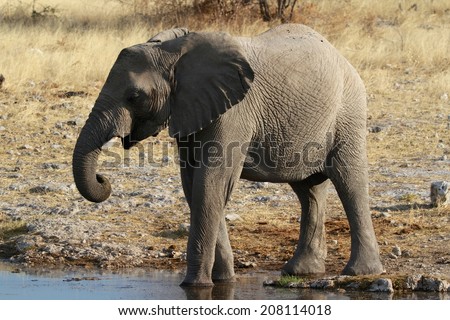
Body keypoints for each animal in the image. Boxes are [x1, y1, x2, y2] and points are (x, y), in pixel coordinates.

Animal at [73, 23, 384, 286]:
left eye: (135, 97)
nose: (103, 178)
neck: (173, 51)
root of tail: (341, 56)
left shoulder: (234, 113)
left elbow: (211, 184)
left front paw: (195, 285)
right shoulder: (192, 108)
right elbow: (194, 186)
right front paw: (223, 281)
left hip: (348, 111)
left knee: (350, 183)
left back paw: (361, 272)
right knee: (309, 190)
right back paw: (300, 271)